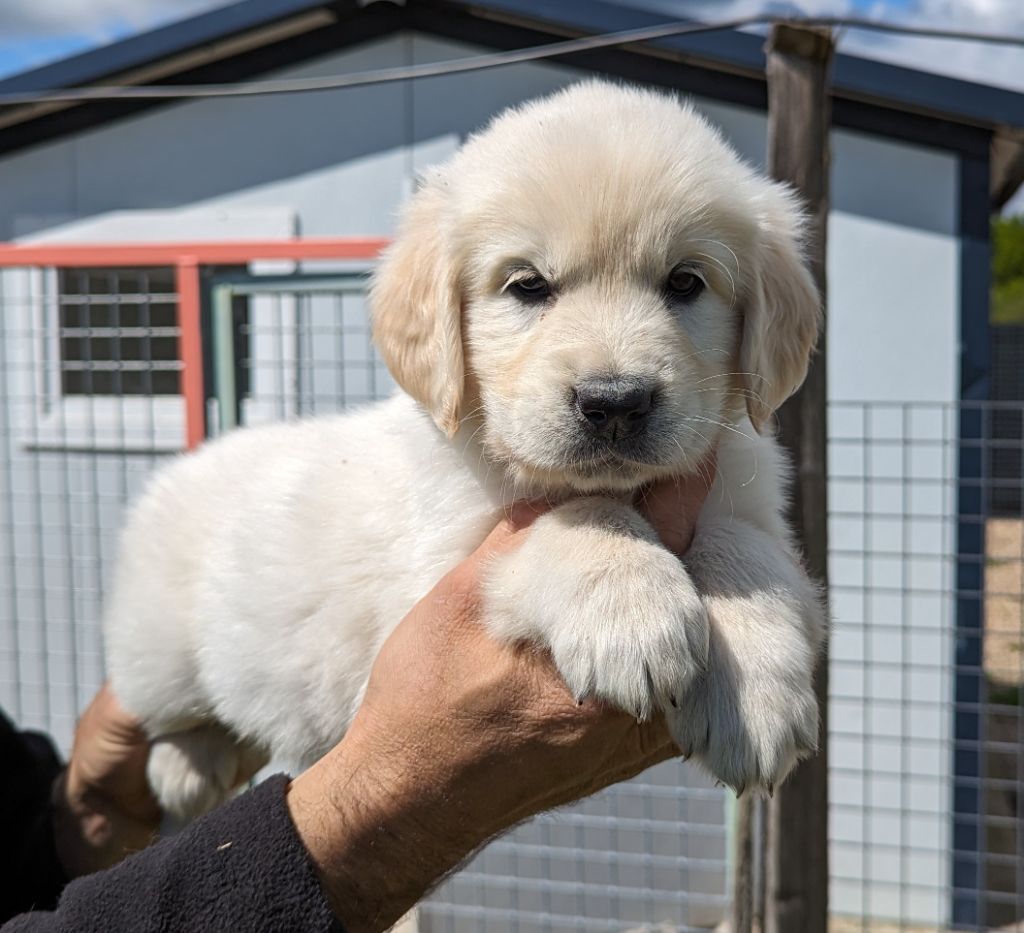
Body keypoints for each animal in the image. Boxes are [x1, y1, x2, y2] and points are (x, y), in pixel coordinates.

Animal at [105, 80, 825, 820]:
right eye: (528, 284)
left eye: (685, 282)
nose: (616, 402)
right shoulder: (445, 561)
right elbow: (573, 517)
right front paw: (630, 611)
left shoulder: (746, 494)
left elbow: (744, 547)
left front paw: (755, 695)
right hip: (156, 648)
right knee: (163, 711)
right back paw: (186, 763)